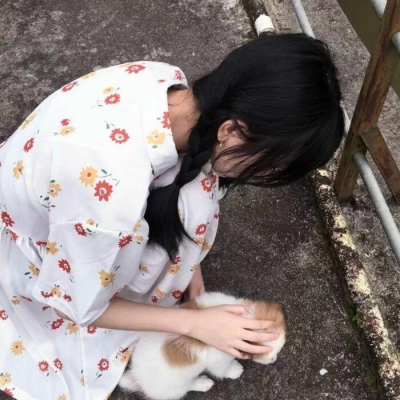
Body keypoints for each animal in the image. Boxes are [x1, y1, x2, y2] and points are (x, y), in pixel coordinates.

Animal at [119, 292, 286, 400]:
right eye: (269, 356)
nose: (274, 360)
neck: (243, 318)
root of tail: (137, 378)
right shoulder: (218, 359)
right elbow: (223, 369)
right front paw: (234, 370)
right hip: (175, 387)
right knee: (186, 387)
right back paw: (203, 383)